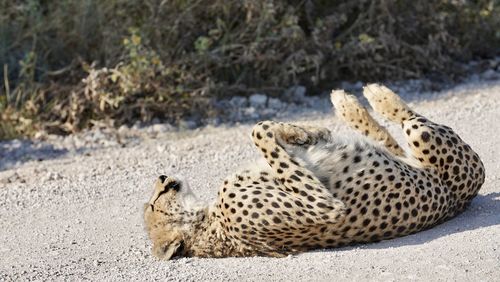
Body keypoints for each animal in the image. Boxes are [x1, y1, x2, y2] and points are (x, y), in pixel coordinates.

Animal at [144, 84, 484, 260]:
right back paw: (376, 96)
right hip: (429, 142)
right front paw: (305, 133)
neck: (209, 224)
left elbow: (265, 131)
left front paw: (307, 132)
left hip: (413, 150)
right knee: (407, 119)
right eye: (153, 205)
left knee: (389, 139)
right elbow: (258, 130)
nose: (160, 178)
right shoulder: (324, 207)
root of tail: (460, 202)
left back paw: (349, 104)